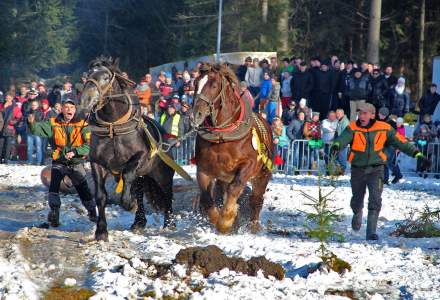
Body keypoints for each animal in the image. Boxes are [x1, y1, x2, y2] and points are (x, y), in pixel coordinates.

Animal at [81, 56, 174, 241]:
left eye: (106, 77)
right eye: (88, 75)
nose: (86, 99)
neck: (113, 126)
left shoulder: (141, 157)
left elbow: (128, 173)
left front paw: (128, 203)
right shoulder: (97, 163)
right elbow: (101, 196)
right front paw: (101, 231)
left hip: (162, 173)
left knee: (167, 193)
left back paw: (169, 223)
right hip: (143, 176)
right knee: (139, 191)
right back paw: (139, 222)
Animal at [193, 62, 276, 232]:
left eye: (214, 85)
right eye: (195, 83)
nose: (196, 114)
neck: (222, 137)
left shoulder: (249, 165)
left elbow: (235, 188)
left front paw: (225, 220)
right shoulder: (204, 169)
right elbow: (206, 198)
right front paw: (218, 219)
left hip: (262, 175)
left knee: (256, 200)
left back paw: (253, 225)